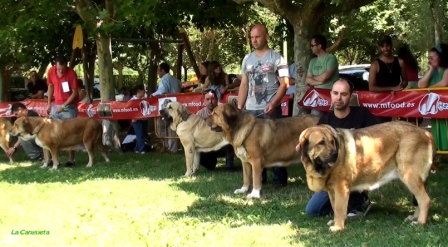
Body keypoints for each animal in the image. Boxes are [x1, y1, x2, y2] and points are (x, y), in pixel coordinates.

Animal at [296, 121, 436, 232]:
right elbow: (335, 208)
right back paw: (415, 217)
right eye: (321, 143)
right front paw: (335, 222)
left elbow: (339, 209)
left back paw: (420, 222)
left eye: (331, 142)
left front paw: (338, 227)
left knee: (424, 200)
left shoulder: (341, 188)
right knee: (419, 199)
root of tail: (425, 133)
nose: (336, 154)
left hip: (409, 175)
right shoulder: (332, 191)